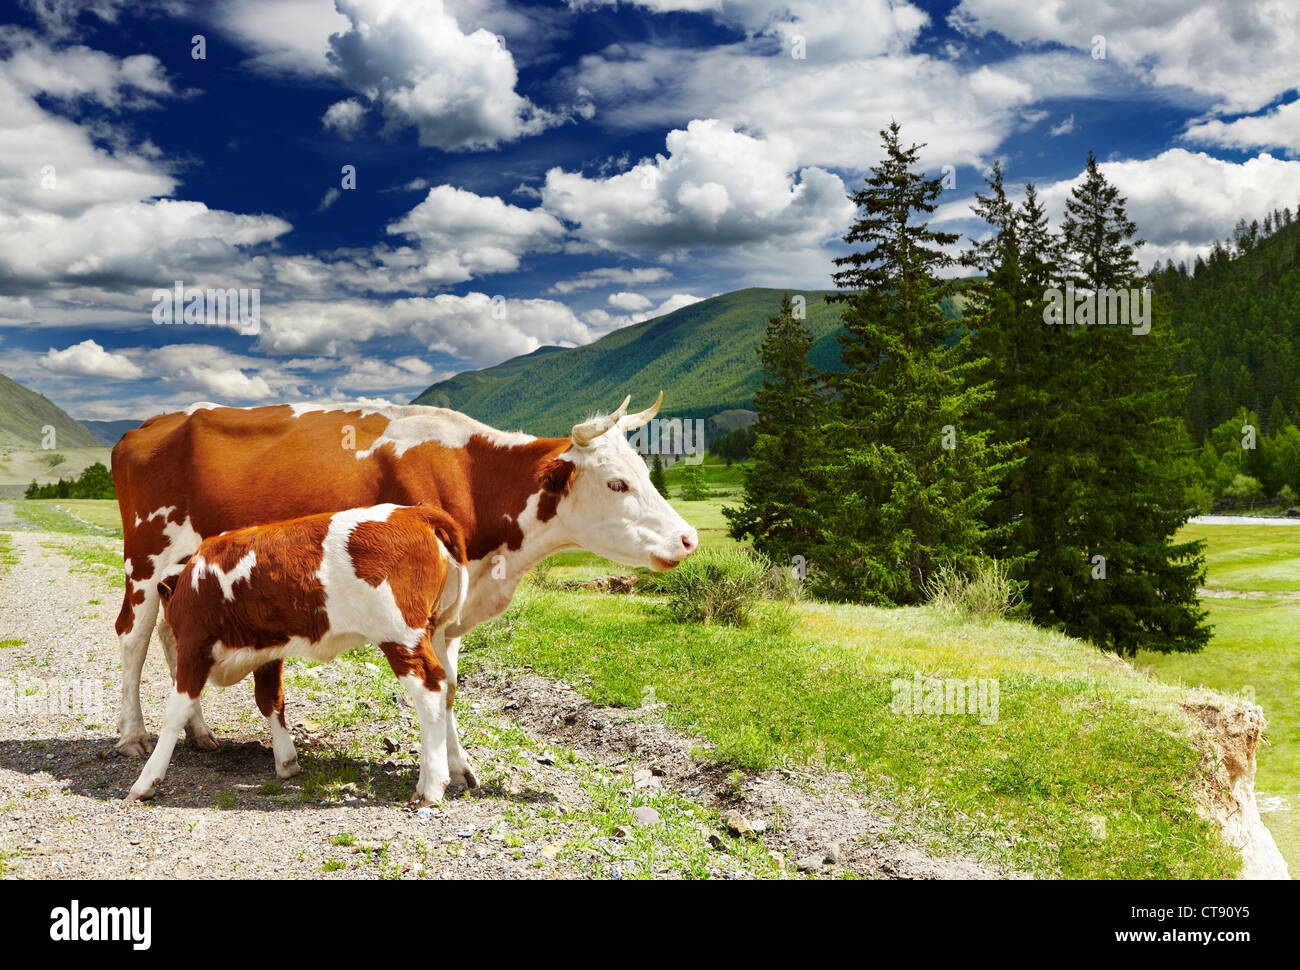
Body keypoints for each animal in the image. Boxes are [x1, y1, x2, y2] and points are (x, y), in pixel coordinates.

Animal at [127, 503, 469, 804]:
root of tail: (416, 513)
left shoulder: (193, 645)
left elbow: (176, 711)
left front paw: (146, 781)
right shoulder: (265, 648)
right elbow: (270, 699)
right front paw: (286, 762)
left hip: (400, 635)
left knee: (430, 688)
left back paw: (431, 786)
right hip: (434, 631)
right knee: (448, 687)